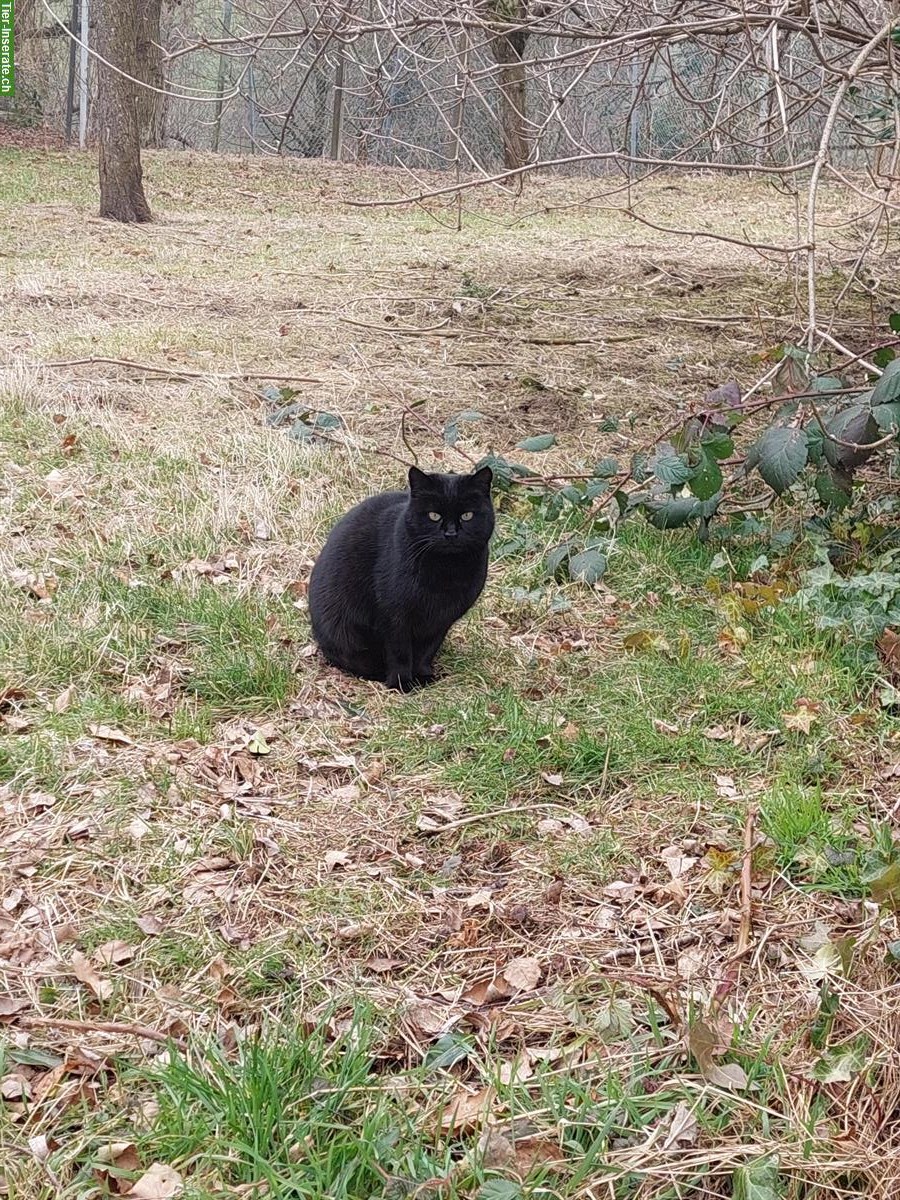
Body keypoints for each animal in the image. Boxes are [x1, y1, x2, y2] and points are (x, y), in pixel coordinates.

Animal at [309, 468, 494, 696]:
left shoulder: (441, 621)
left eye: (467, 515)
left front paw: (423, 676)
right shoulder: (395, 617)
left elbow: (427, 651)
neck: (446, 574)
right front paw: (402, 683)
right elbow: (400, 653)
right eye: (434, 516)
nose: (450, 533)